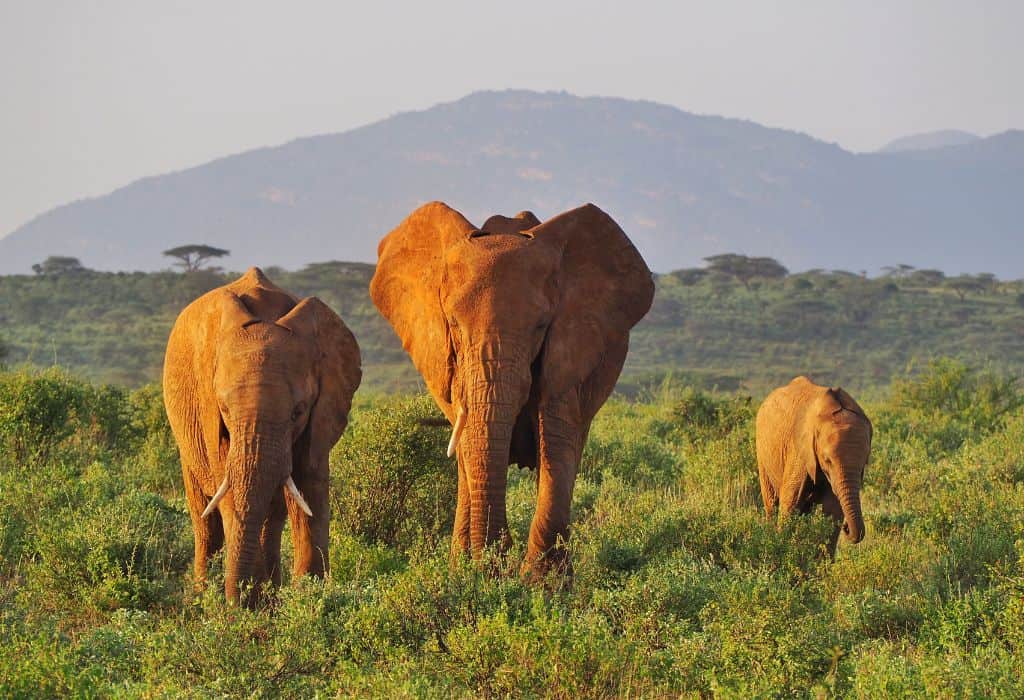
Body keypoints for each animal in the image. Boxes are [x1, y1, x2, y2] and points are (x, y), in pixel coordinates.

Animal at [162, 268, 360, 605]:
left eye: (298, 411)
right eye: (224, 409)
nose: (236, 603)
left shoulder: (322, 414)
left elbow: (311, 489)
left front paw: (308, 603)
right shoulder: (211, 415)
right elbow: (230, 494)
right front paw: (248, 606)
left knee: (274, 516)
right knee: (206, 522)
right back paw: (204, 598)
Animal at [372, 202, 651, 581]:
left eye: (540, 326)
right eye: (453, 324)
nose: (498, 561)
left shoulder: (569, 349)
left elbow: (558, 443)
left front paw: (542, 584)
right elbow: (471, 446)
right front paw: (479, 575)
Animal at [753, 376, 872, 556]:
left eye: (864, 461)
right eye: (827, 460)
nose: (846, 528)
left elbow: (832, 511)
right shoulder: (799, 451)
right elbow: (789, 505)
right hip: (762, 452)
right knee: (772, 504)